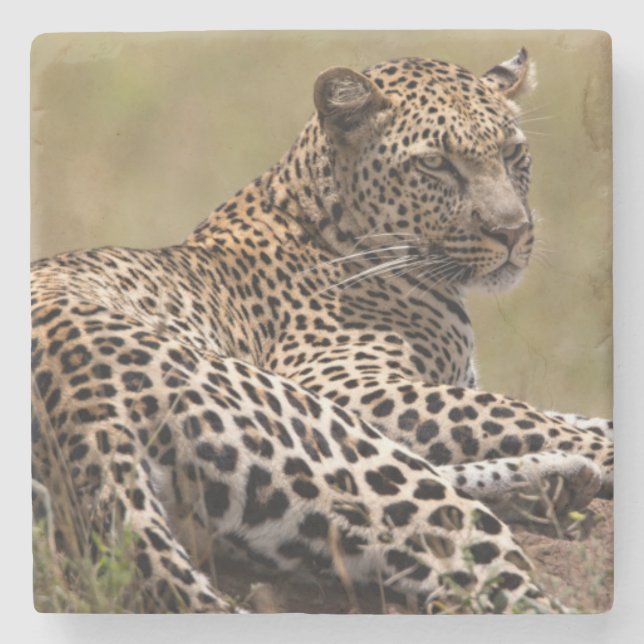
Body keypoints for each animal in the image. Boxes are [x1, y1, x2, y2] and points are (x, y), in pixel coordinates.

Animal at [31, 47, 614, 614]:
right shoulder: (345, 382)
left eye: (513, 154)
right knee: (501, 586)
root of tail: (81, 413)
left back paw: (557, 481)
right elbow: (515, 414)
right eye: (435, 163)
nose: (514, 232)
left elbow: (557, 415)